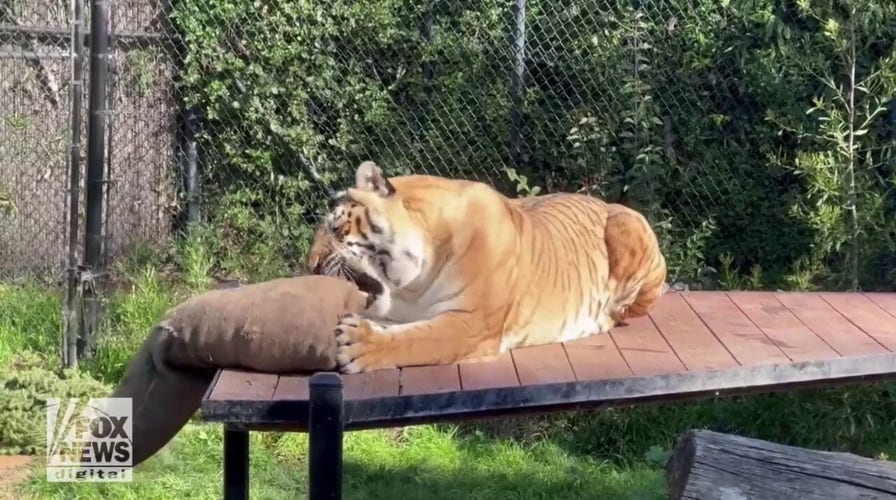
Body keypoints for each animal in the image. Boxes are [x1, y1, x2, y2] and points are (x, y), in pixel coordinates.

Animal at [306, 161, 668, 373]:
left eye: (337, 228)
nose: (311, 265)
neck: (413, 286)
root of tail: (601, 200)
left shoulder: (471, 324)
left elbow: (417, 340)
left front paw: (357, 344)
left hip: (627, 224)